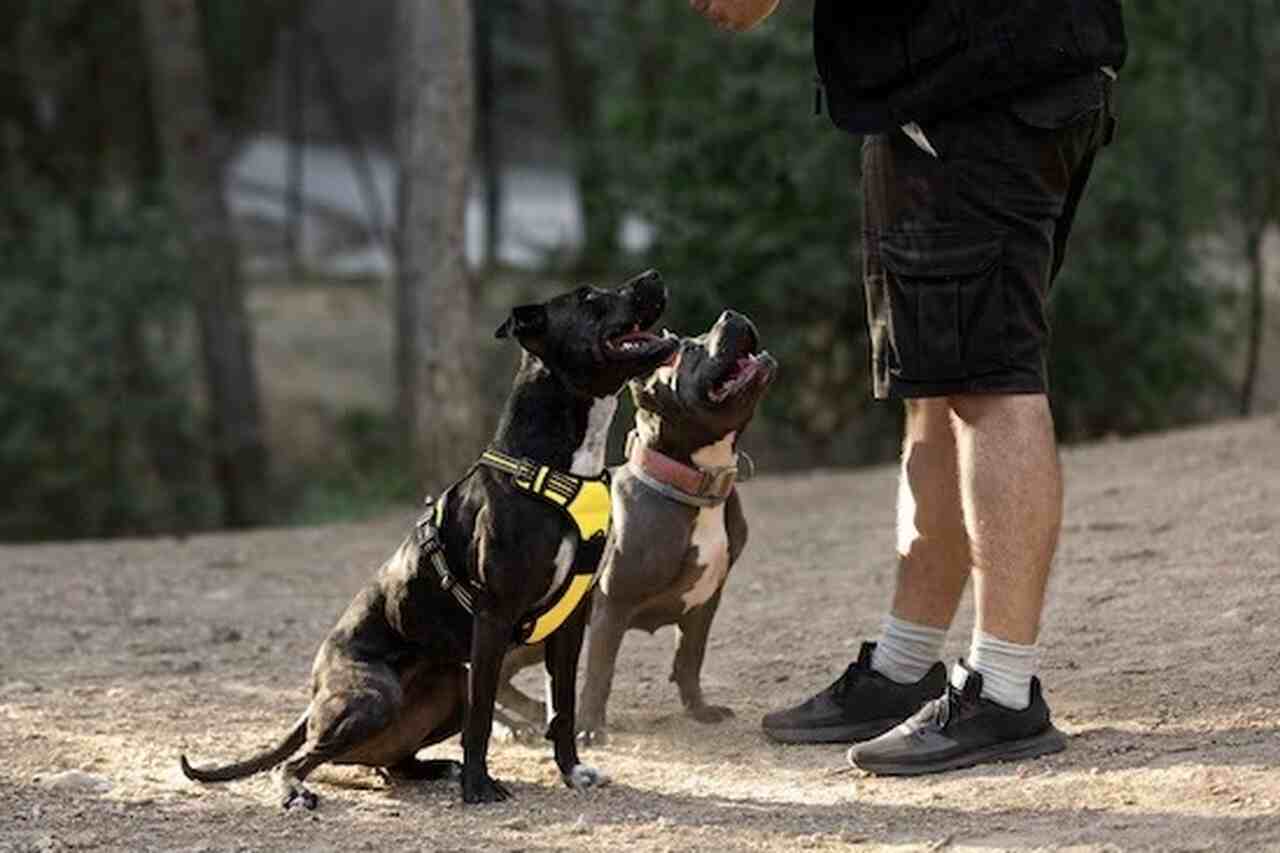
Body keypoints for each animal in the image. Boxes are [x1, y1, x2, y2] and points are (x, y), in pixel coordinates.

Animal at [183, 267, 680, 804]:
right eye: (589, 298)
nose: (653, 275)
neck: (558, 466)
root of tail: (316, 692)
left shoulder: (572, 620)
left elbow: (562, 705)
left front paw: (571, 771)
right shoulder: (494, 615)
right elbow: (483, 717)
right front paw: (479, 786)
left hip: (448, 684)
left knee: (393, 762)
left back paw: (437, 769)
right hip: (374, 696)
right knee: (300, 760)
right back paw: (299, 790)